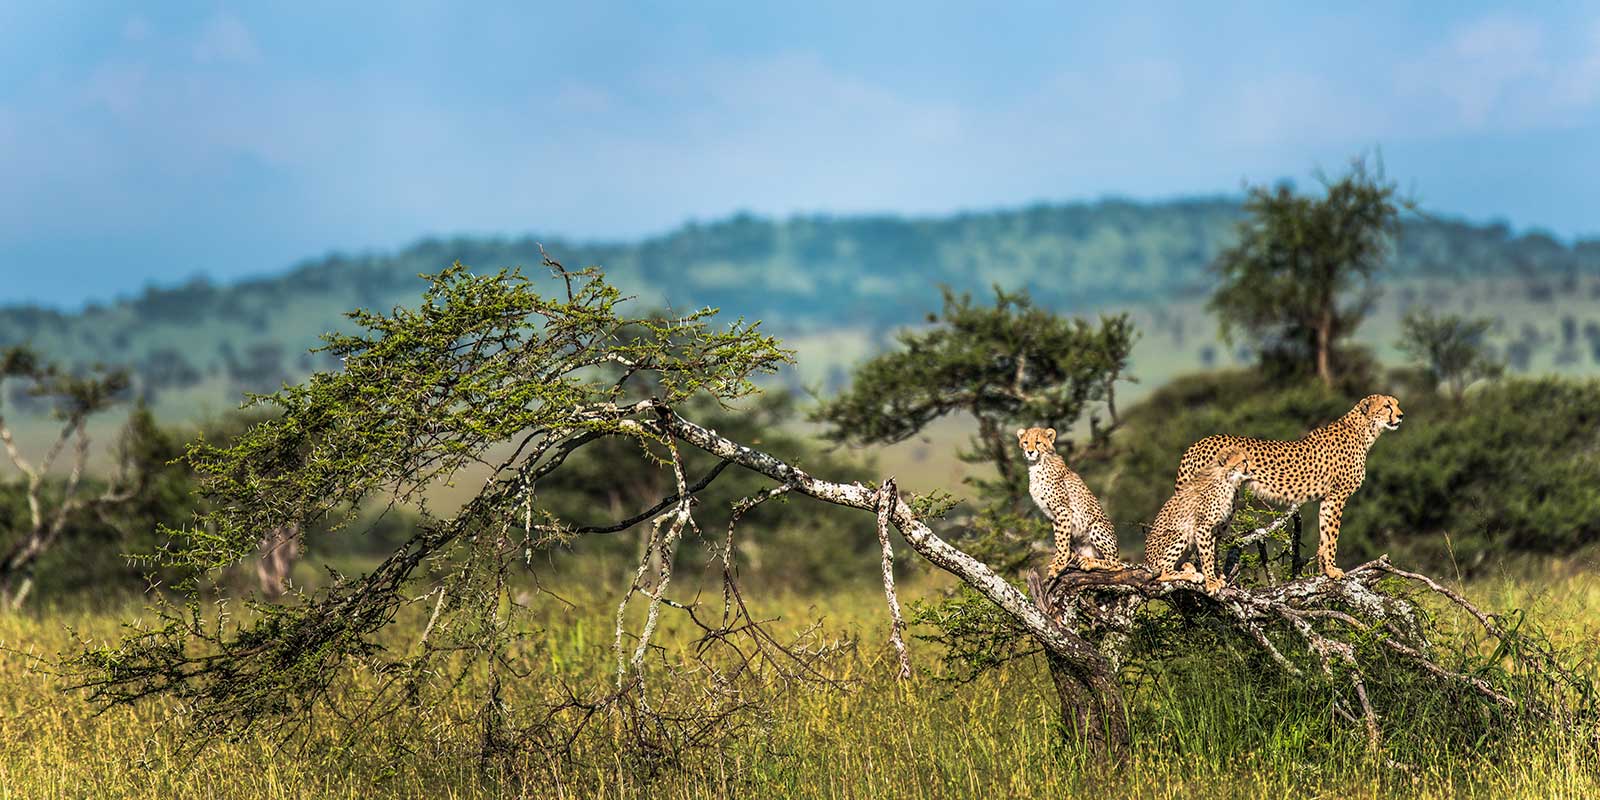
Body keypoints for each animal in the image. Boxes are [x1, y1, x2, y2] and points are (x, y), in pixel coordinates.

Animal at [1017, 427, 1122, 576]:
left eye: (1038, 442)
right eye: (1025, 442)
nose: (1030, 452)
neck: (1036, 464)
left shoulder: (1063, 510)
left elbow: (1061, 541)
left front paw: (1058, 565)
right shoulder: (1053, 515)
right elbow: (1059, 539)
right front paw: (1058, 561)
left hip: (1096, 526)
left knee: (1116, 564)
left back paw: (1088, 563)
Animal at [1144, 446, 1252, 593]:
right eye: (1244, 461)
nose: (1252, 469)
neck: (1227, 480)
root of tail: (1146, 562)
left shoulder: (1215, 529)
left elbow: (1213, 554)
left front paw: (1216, 578)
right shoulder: (1203, 527)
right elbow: (1207, 556)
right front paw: (1211, 582)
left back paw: (1189, 568)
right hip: (1179, 534)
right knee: (1163, 572)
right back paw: (1192, 575)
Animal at [1174, 394, 1404, 580]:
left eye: (1397, 404)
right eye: (1387, 406)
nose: (1401, 415)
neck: (1364, 430)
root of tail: (1198, 443)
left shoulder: (1327, 499)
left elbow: (1324, 535)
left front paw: (1324, 570)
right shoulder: (1337, 495)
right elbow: (1332, 537)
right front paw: (1332, 570)